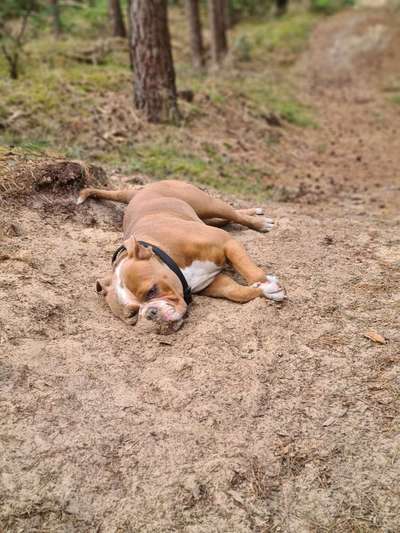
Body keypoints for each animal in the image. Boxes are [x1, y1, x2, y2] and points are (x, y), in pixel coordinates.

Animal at [77, 179, 284, 332]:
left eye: (152, 291)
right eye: (132, 315)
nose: (150, 313)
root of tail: (140, 191)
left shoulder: (227, 243)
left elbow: (250, 270)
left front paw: (266, 284)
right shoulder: (213, 283)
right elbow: (235, 292)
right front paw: (264, 291)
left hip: (206, 203)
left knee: (232, 214)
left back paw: (259, 221)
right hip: (205, 215)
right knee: (224, 219)